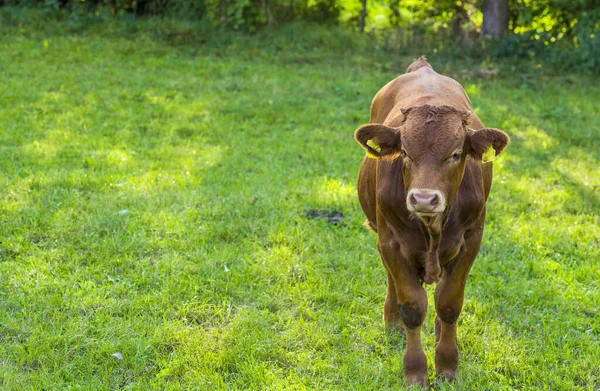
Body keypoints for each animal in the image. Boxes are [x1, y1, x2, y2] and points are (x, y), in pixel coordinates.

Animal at [354, 56, 508, 388]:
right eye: (405, 152)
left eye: (455, 154)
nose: (424, 199)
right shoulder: (391, 241)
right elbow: (412, 306)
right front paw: (415, 371)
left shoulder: (471, 240)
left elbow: (449, 303)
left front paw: (447, 365)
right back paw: (392, 322)